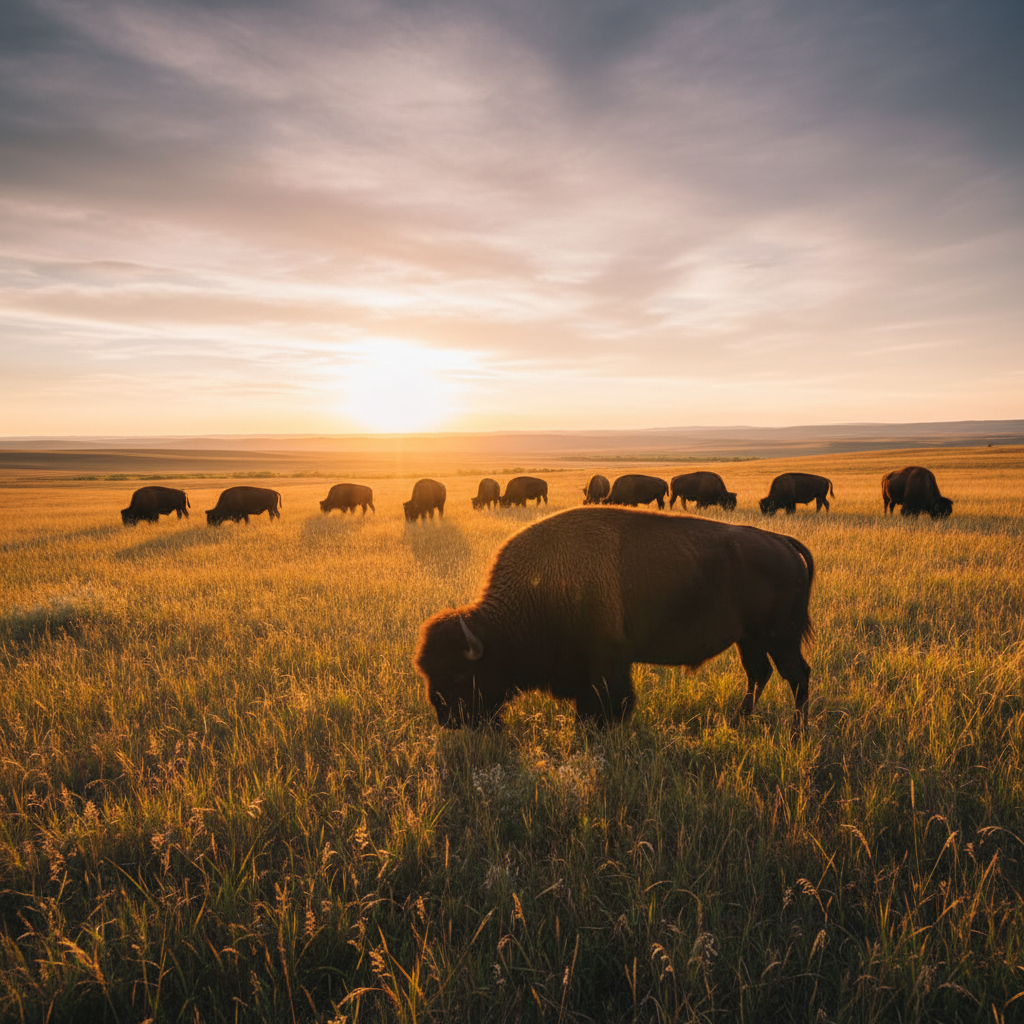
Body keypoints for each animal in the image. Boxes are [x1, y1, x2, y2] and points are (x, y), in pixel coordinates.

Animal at [416, 507, 814, 733]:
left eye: (459, 674)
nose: (447, 720)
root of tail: (781, 541)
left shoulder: (605, 662)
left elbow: (609, 701)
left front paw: (599, 729)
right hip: (750, 639)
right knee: (759, 674)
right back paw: (739, 720)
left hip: (780, 638)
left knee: (797, 676)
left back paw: (797, 730)